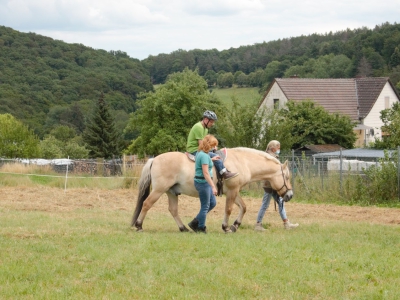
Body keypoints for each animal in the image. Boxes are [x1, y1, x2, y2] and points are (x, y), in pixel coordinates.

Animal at [131, 146, 294, 233]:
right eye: (287, 177)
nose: (290, 195)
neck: (243, 162)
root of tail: (154, 159)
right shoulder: (232, 191)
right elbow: (229, 209)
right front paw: (226, 227)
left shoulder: (233, 191)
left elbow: (243, 207)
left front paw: (235, 225)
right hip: (159, 190)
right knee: (146, 204)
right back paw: (139, 226)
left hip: (171, 192)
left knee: (173, 210)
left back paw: (183, 228)